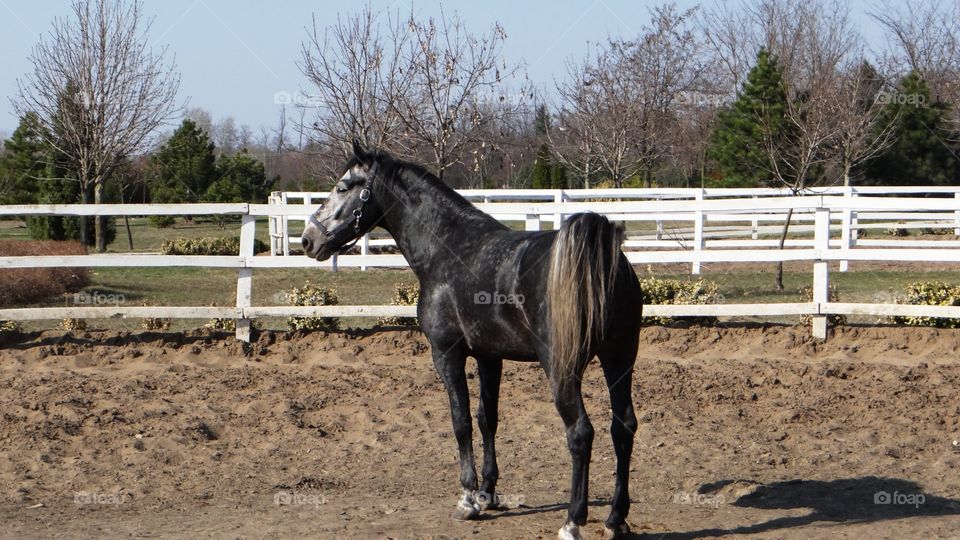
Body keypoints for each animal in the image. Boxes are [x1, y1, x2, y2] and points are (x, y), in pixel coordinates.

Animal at [301, 141, 642, 540]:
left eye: (343, 187)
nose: (308, 239)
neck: (449, 248)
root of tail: (601, 260)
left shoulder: (446, 354)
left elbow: (460, 420)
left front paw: (467, 498)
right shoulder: (489, 357)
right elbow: (486, 418)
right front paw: (488, 492)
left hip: (562, 369)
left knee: (580, 433)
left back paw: (573, 520)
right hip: (619, 359)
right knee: (623, 427)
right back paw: (616, 518)